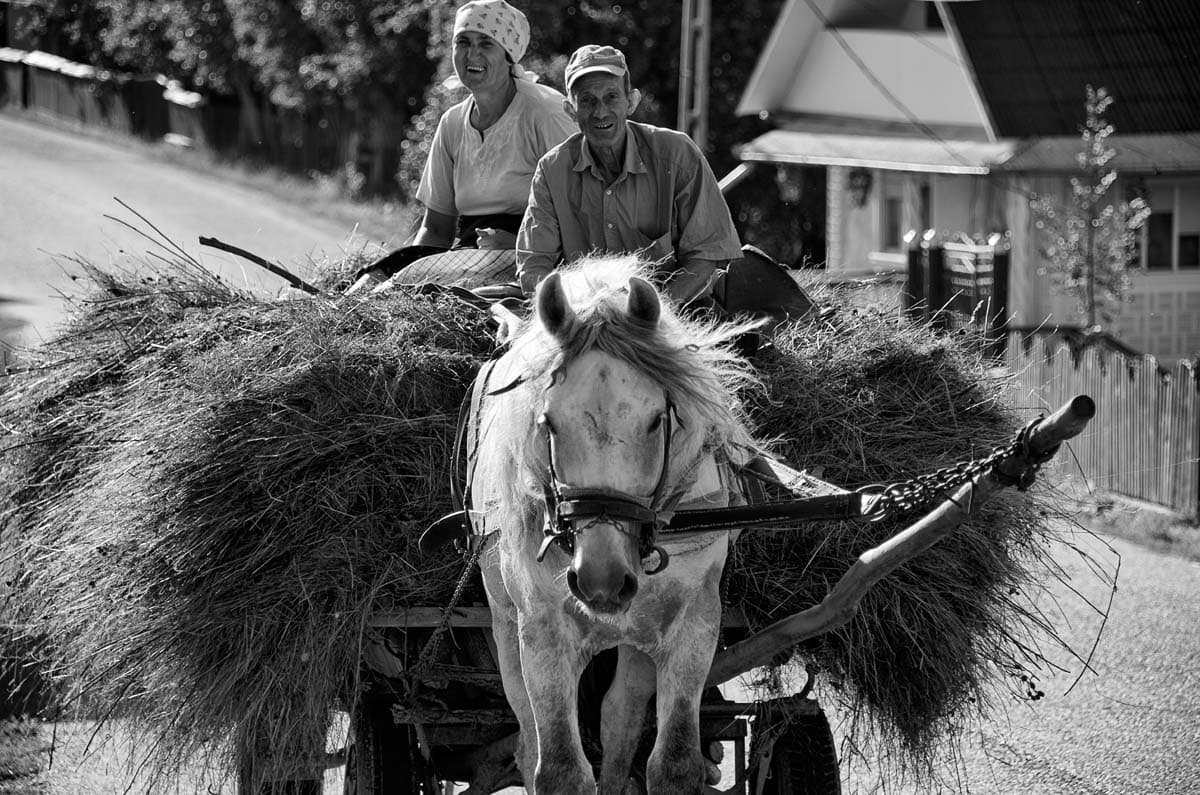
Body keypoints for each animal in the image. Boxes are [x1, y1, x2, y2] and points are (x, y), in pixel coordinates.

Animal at [468, 258, 758, 792]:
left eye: (656, 420)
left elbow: (673, 762)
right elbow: (559, 767)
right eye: (548, 422)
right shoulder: (542, 630)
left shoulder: (694, 621)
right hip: (503, 621)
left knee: (619, 717)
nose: (601, 581)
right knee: (528, 735)